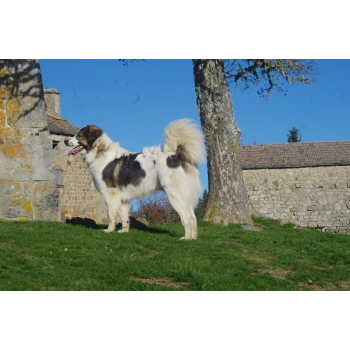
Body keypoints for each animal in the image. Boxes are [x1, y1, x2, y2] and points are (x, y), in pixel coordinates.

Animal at [65, 119, 205, 239]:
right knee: (193, 216)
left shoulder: (110, 195)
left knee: (186, 217)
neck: (101, 152)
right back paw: (193, 238)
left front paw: (109, 230)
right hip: (184, 196)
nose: (65, 141)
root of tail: (177, 155)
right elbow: (124, 216)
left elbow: (111, 215)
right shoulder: (122, 198)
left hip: (174, 195)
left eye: (78, 136)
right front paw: (123, 231)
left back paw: (186, 238)